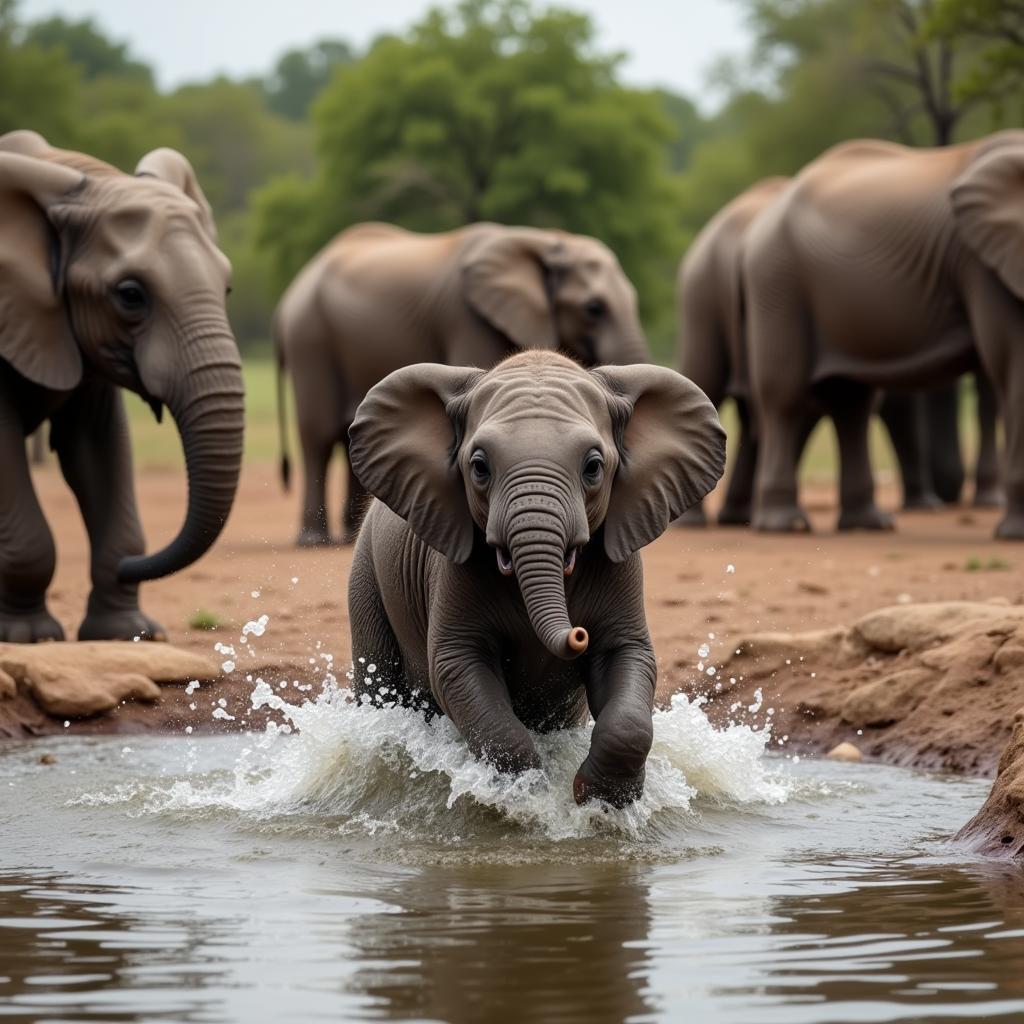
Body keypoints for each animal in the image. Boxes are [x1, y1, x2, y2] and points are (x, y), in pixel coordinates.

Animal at [0, 128, 245, 638]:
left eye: (227, 288)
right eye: (130, 295)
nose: (129, 567)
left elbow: (96, 448)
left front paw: (130, 632)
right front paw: (32, 637)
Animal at [274, 221, 647, 548]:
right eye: (594, 308)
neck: (546, 241)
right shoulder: (469, 319)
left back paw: (351, 538)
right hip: (311, 336)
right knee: (320, 435)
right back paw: (315, 541)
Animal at [348, 352, 724, 806]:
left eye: (593, 467)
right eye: (479, 467)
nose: (577, 633)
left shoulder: (621, 564)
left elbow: (627, 661)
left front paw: (600, 800)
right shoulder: (452, 567)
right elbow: (458, 666)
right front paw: (523, 798)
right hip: (365, 577)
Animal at [745, 132, 1024, 540]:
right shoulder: (981, 261)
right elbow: (1013, 361)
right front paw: (1014, 534)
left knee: (851, 403)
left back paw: (867, 524)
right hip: (778, 279)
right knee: (786, 397)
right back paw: (787, 525)